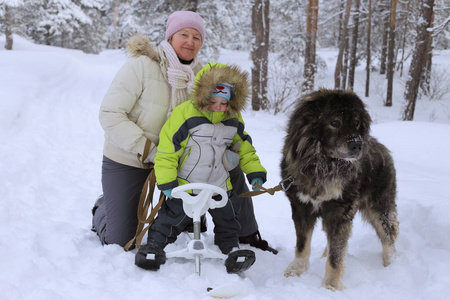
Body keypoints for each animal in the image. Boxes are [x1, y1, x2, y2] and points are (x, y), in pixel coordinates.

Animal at [284, 88, 400, 290]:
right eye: (335, 123)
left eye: (356, 123)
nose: (357, 144)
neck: (322, 167)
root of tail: (382, 147)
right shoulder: (301, 208)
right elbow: (302, 245)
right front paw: (296, 271)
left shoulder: (339, 213)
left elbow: (336, 255)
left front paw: (330, 287)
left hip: (379, 208)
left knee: (388, 237)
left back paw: (391, 266)